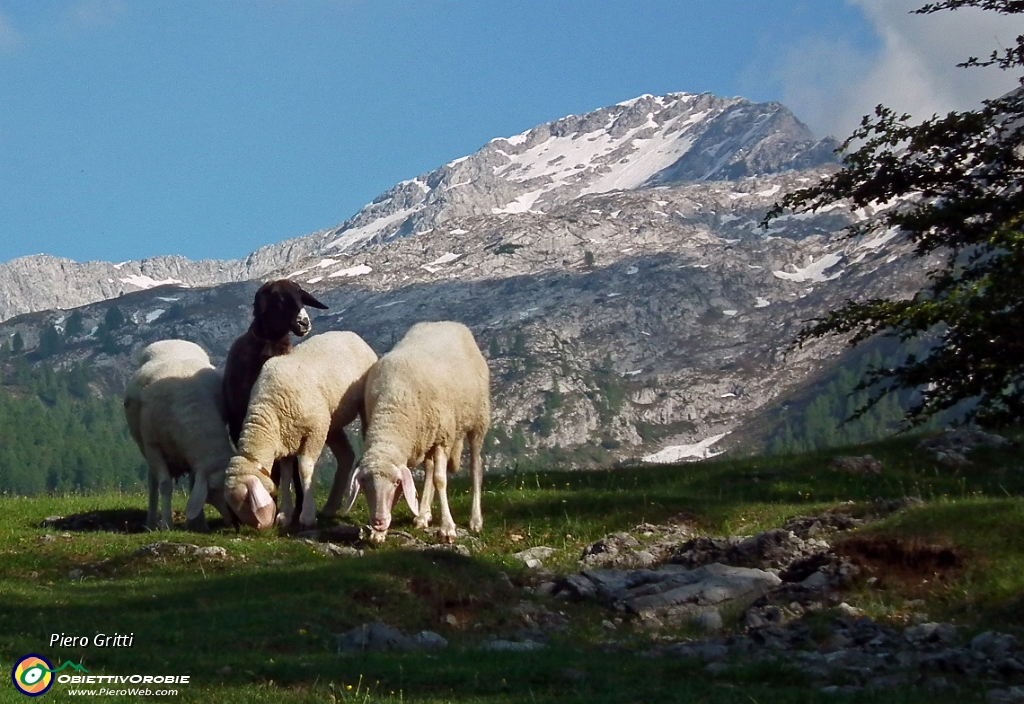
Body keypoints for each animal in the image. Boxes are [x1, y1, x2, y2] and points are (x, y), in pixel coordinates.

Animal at [123, 337, 234, 532]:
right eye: (214, 489)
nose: (236, 521)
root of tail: (172, 340)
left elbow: (193, 484)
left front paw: (197, 524)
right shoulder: (153, 446)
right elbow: (165, 485)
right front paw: (167, 524)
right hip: (145, 447)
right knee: (153, 483)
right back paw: (151, 522)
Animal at [224, 329, 380, 528]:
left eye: (245, 500)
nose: (256, 527)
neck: (269, 406)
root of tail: (349, 333)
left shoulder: (314, 431)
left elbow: (305, 469)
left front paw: (307, 515)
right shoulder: (285, 438)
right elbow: (286, 475)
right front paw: (285, 515)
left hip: (351, 410)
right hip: (331, 421)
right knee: (346, 455)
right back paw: (330, 506)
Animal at [339, 321, 491, 548]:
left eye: (395, 483)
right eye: (364, 486)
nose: (379, 521)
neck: (393, 407)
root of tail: (446, 322)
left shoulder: (442, 439)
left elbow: (440, 480)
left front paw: (447, 529)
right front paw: (379, 533)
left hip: (477, 420)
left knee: (475, 466)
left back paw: (475, 520)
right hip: (425, 437)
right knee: (429, 468)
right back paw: (423, 515)